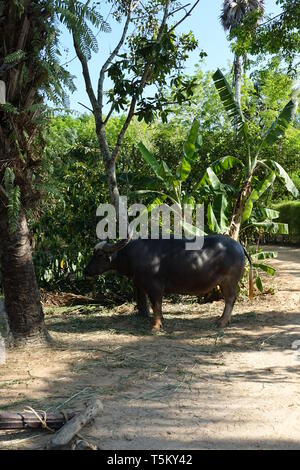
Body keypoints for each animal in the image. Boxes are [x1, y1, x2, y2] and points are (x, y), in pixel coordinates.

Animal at [85, 235, 253, 330]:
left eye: (99, 255)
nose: (85, 270)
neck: (131, 255)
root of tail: (239, 246)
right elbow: (156, 307)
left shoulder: (155, 286)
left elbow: (156, 305)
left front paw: (156, 326)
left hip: (229, 281)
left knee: (230, 298)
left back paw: (222, 322)